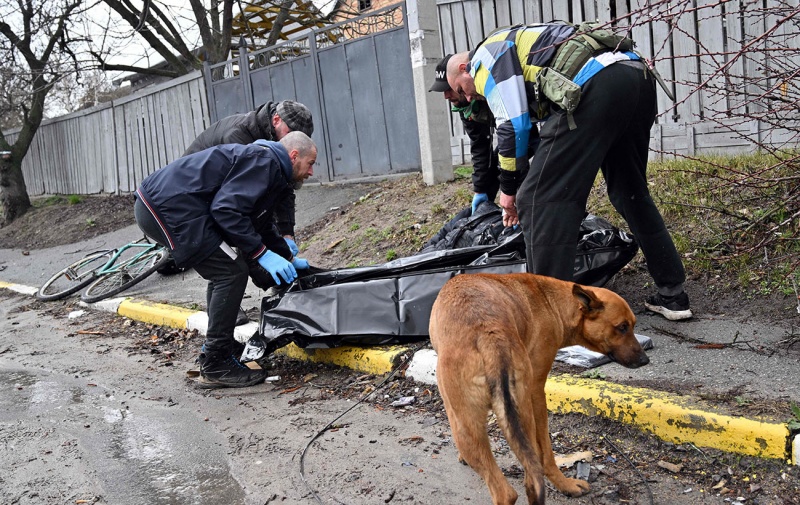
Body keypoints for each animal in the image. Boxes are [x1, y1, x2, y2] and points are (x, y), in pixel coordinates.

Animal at [428, 274, 648, 502]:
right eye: (622, 327)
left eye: (630, 326)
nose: (645, 360)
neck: (553, 303)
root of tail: (489, 336)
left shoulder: (536, 390)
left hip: (471, 424)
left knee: (508, 489)